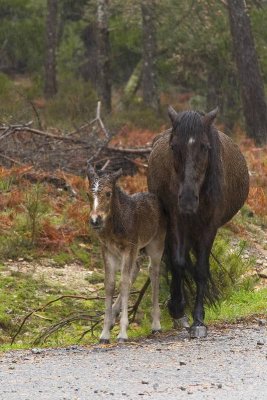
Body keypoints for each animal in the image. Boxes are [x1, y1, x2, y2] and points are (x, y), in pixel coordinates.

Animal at [148, 107, 250, 338]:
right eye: (174, 146)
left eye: (204, 146)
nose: (187, 200)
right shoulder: (177, 221)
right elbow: (178, 263)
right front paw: (178, 310)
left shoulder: (209, 226)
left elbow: (201, 269)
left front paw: (198, 320)